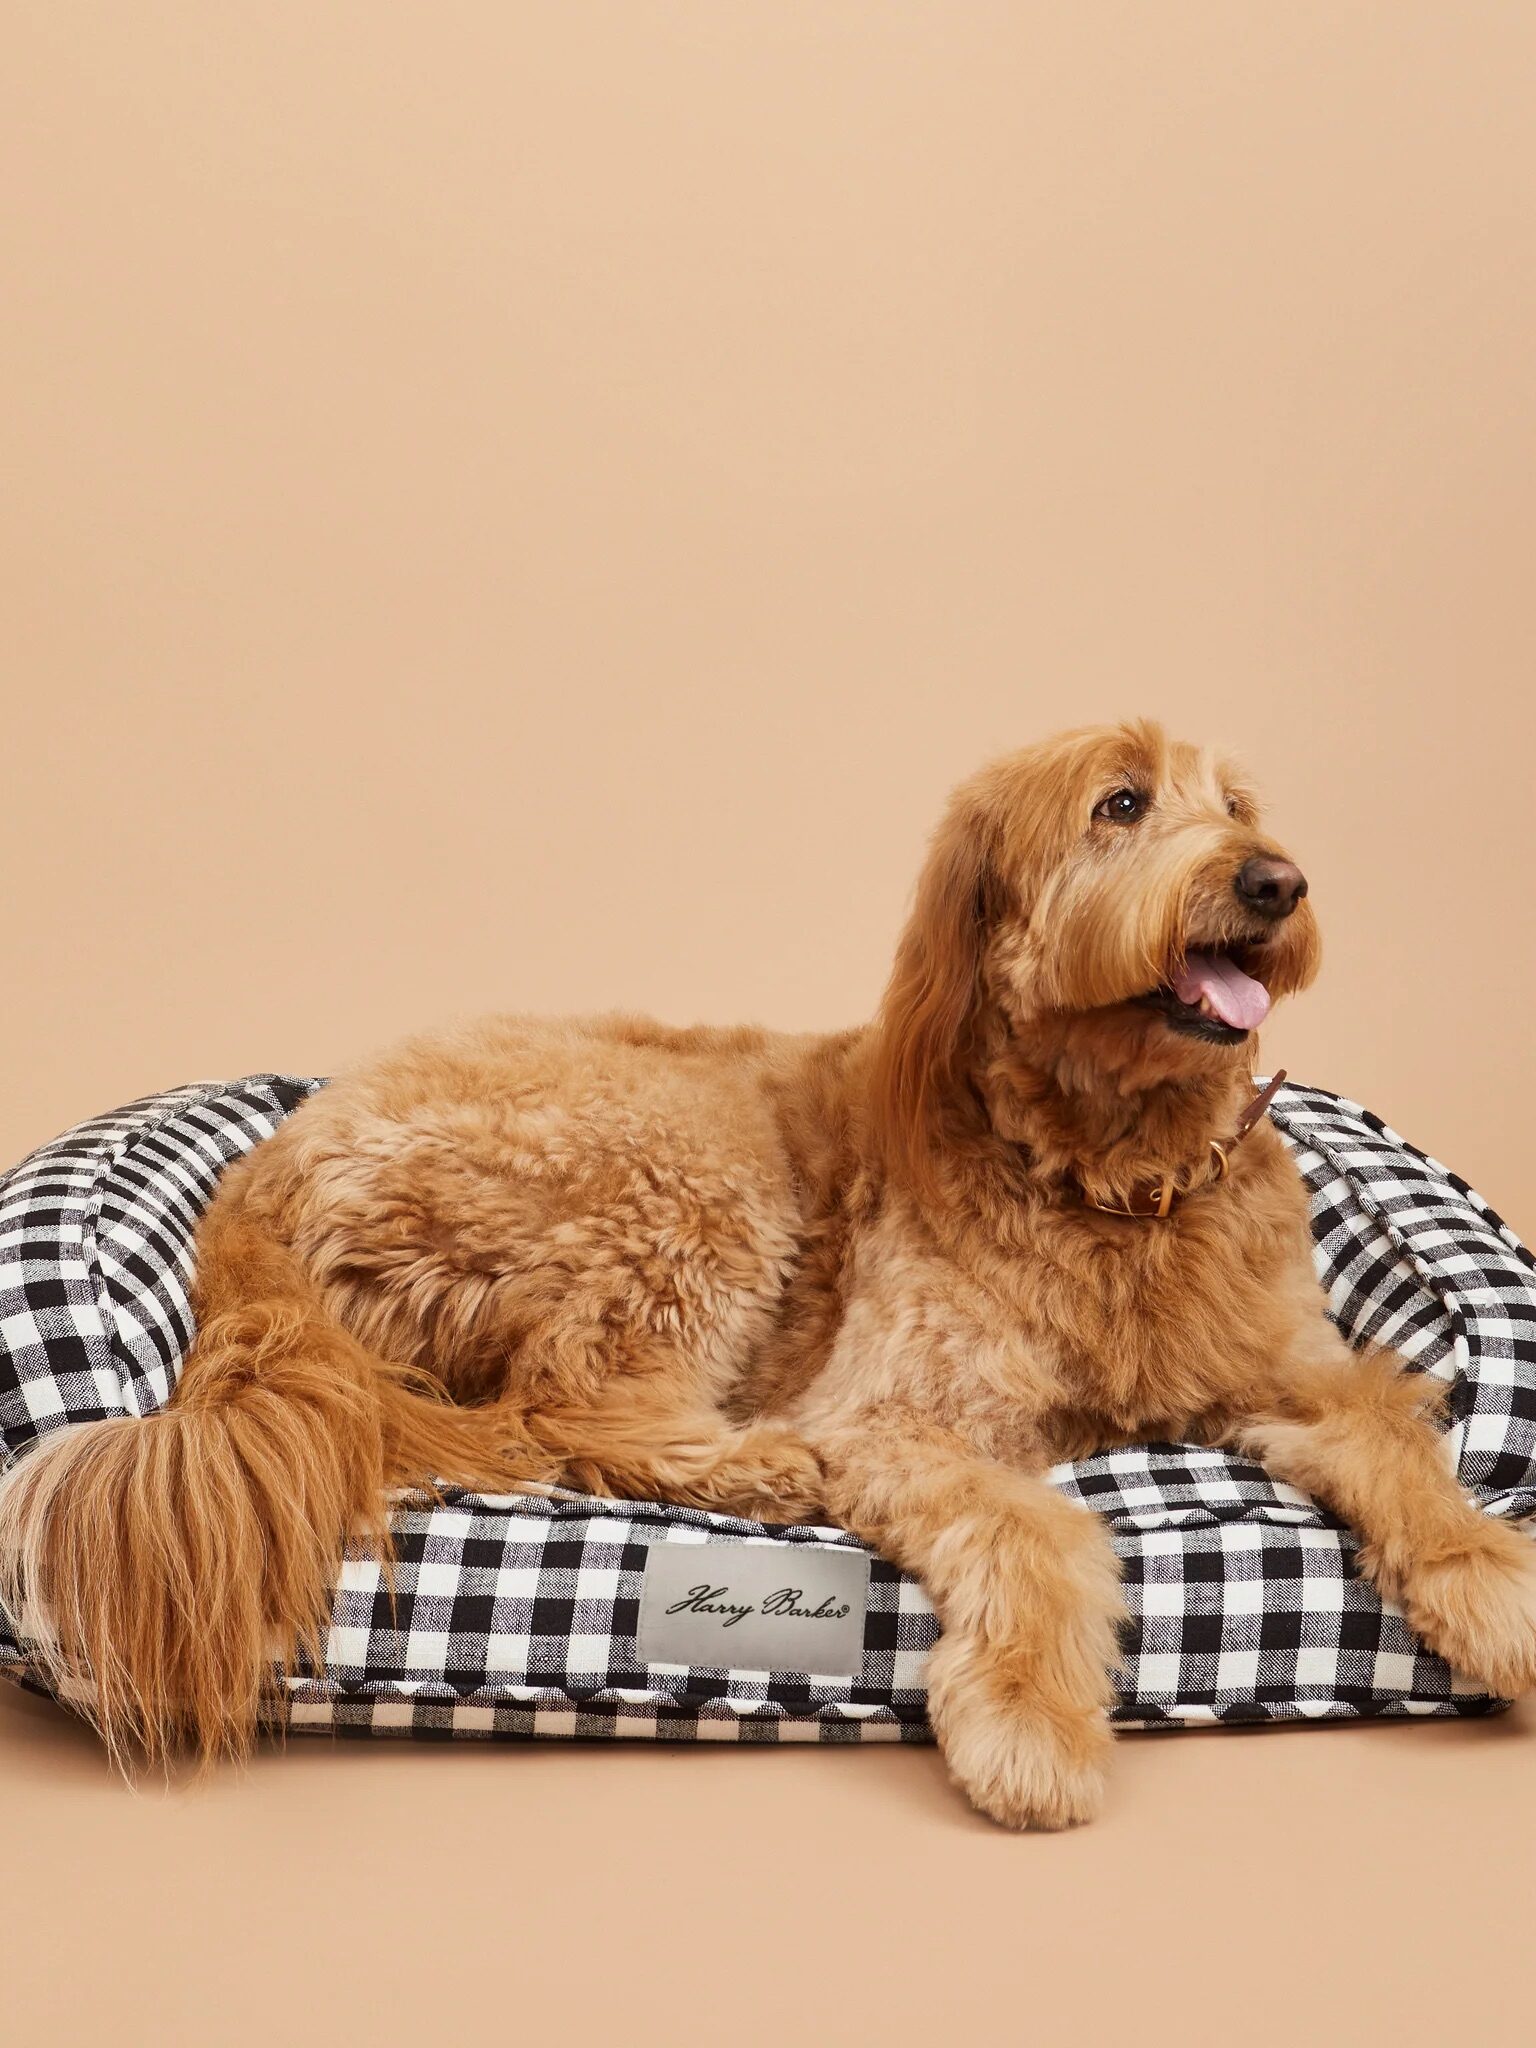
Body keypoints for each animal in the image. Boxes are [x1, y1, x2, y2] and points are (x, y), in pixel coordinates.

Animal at [3, 724, 1536, 1826]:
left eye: (1238, 802)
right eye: (1119, 802)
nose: (1278, 880)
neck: (1114, 1173)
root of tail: (272, 1161)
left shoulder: (1288, 1368)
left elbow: (1398, 1437)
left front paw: (1489, 1579)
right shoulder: (902, 1415)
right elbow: (1038, 1529)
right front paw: (1032, 1717)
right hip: (696, 1165)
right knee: (570, 1408)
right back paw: (755, 1465)